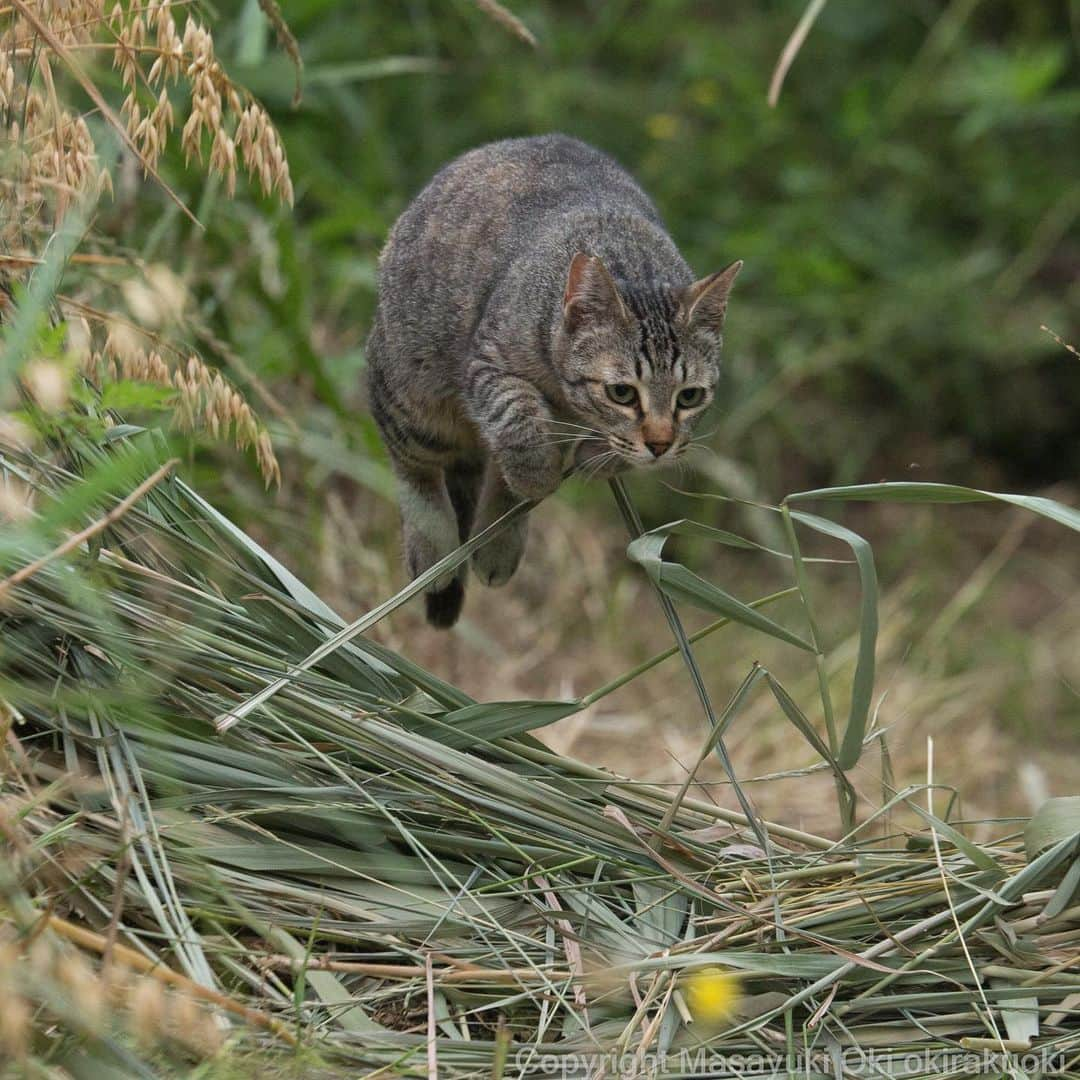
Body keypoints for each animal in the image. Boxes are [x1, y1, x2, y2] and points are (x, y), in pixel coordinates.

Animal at [367, 133, 738, 630]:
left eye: (689, 397)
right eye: (622, 392)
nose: (660, 444)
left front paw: (595, 460)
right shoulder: (487, 363)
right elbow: (518, 422)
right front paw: (536, 475)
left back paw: (497, 543)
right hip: (410, 388)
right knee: (413, 462)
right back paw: (432, 546)